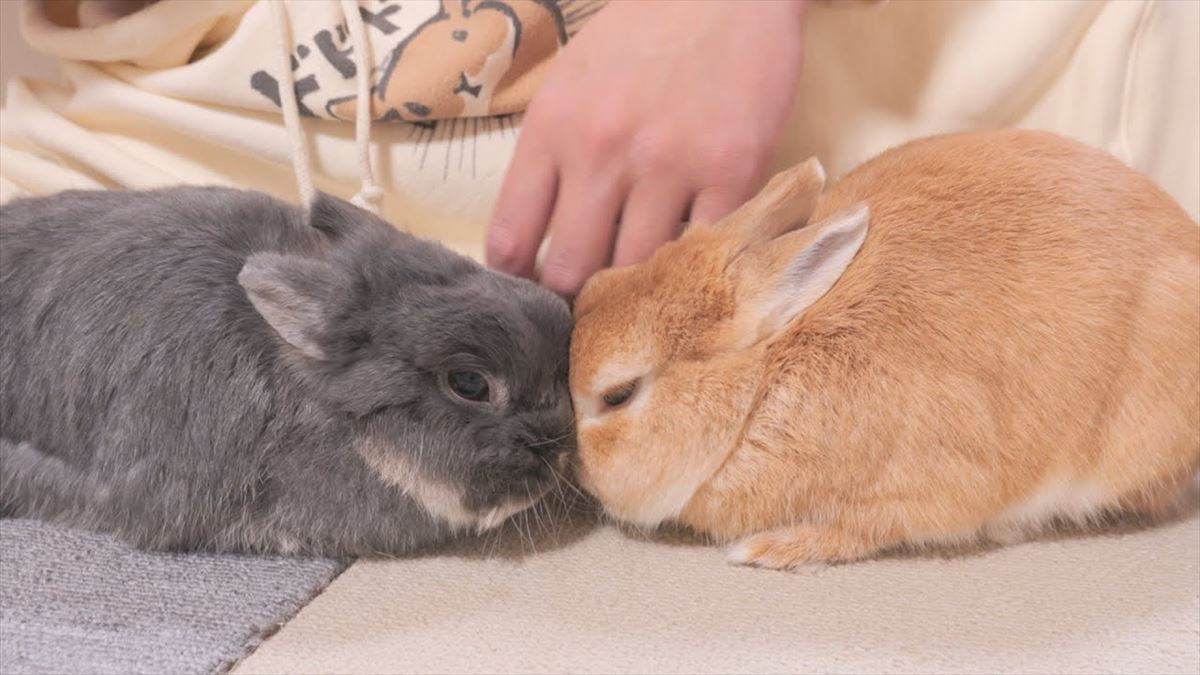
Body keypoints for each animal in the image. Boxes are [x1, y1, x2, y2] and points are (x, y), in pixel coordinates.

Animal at [571, 128, 1200, 564]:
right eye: (596, 285)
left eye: (618, 395)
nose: (576, 469)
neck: (761, 387)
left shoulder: (922, 489)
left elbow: (863, 530)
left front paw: (770, 549)